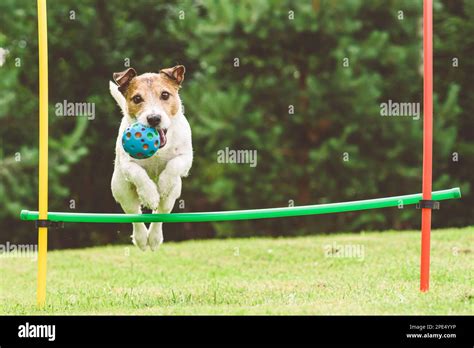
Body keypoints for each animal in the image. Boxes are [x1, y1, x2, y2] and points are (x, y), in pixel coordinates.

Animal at [109, 65, 193, 250]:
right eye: (137, 98)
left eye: (165, 95)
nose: (154, 118)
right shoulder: (127, 164)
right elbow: (137, 173)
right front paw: (149, 194)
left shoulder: (186, 157)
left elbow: (174, 165)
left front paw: (163, 184)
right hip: (122, 190)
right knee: (135, 214)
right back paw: (142, 239)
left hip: (172, 195)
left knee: (160, 213)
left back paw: (154, 238)